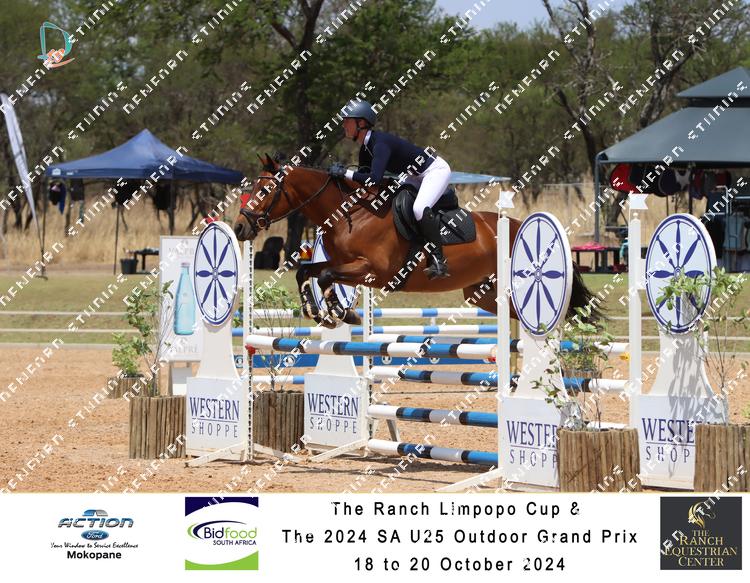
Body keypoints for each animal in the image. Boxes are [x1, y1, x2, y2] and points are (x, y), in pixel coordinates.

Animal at [233, 155, 599, 328]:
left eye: (266, 190)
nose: (239, 228)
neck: (354, 214)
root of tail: (519, 223)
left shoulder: (373, 271)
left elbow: (323, 275)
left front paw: (341, 313)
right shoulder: (340, 262)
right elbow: (306, 272)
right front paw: (319, 311)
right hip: (483, 294)